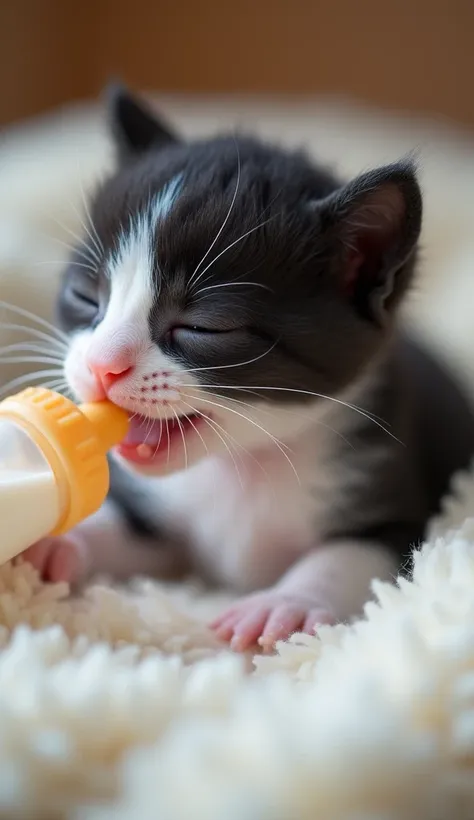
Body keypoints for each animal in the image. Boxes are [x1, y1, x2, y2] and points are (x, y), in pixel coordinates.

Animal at [22, 86, 474, 652]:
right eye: (85, 296)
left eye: (203, 328)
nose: (102, 366)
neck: (245, 463)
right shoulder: (166, 525)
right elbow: (131, 533)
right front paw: (58, 542)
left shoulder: (396, 492)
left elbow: (356, 555)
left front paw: (287, 603)